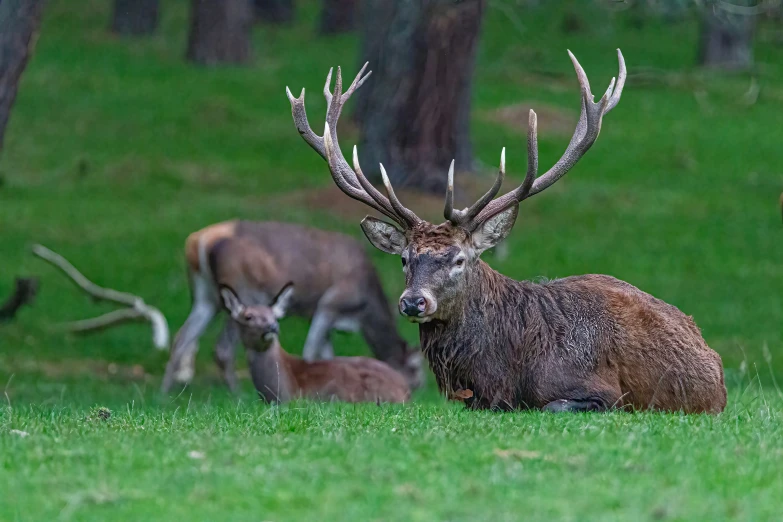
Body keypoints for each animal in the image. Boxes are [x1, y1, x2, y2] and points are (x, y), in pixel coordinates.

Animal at [286, 52, 728, 410]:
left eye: (459, 259)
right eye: (404, 259)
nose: (413, 302)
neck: (499, 377)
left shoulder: (604, 390)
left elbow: (554, 406)